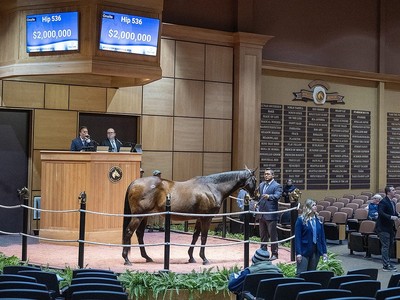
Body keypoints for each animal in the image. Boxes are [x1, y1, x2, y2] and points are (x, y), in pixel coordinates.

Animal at [122, 169, 258, 264]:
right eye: (255, 180)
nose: (256, 196)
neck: (212, 187)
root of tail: (134, 183)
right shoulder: (207, 218)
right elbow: (203, 237)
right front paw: (204, 259)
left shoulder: (199, 218)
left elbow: (195, 236)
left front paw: (191, 257)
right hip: (138, 216)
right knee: (129, 232)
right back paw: (126, 259)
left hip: (144, 216)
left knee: (139, 234)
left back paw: (146, 257)